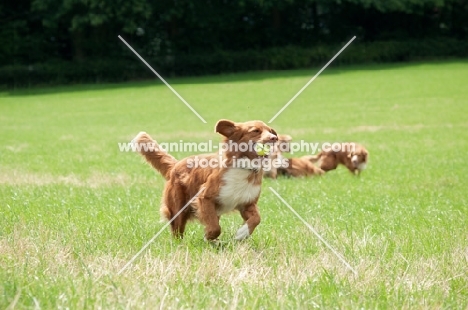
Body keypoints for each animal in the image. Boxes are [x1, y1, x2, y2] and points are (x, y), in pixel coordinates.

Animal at [132, 120, 278, 241]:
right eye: (255, 131)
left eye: (270, 131)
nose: (274, 138)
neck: (243, 167)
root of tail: (176, 165)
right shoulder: (205, 198)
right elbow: (215, 228)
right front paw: (209, 237)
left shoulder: (247, 203)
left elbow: (256, 218)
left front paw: (242, 233)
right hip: (178, 207)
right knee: (177, 231)